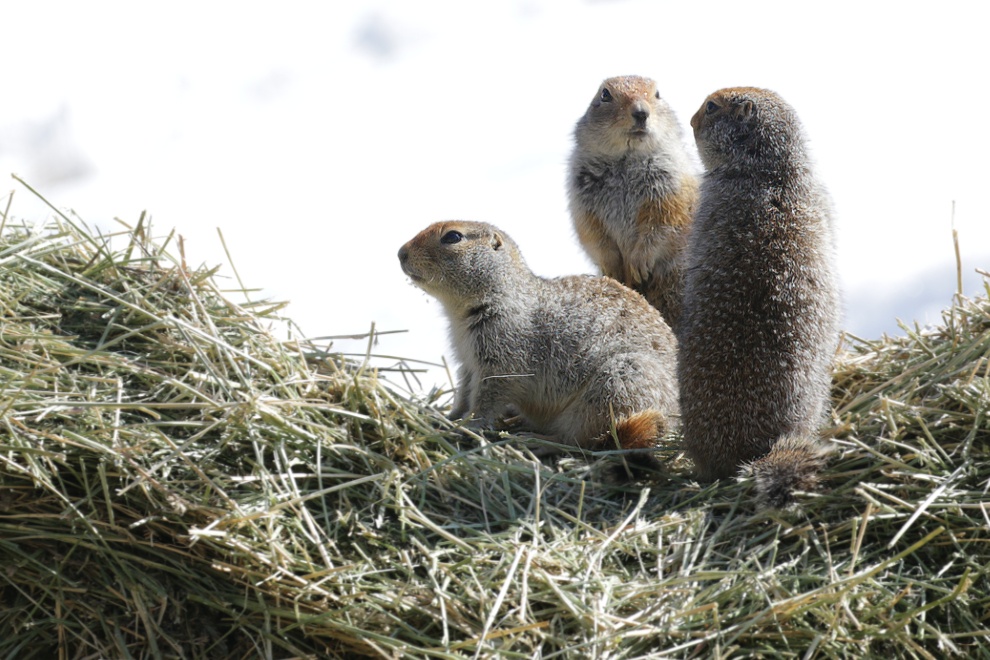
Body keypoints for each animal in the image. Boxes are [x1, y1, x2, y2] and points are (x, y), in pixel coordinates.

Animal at [398, 220, 680, 457]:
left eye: (453, 236)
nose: (400, 253)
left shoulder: (501, 353)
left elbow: (488, 396)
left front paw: (469, 426)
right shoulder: (467, 358)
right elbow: (465, 390)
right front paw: (448, 416)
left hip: (618, 385)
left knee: (582, 440)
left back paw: (535, 441)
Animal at [567, 75, 699, 335]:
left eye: (657, 94)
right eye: (605, 94)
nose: (640, 112)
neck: (625, 160)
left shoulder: (670, 184)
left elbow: (663, 222)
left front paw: (639, 264)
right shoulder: (581, 196)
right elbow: (591, 230)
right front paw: (612, 268)